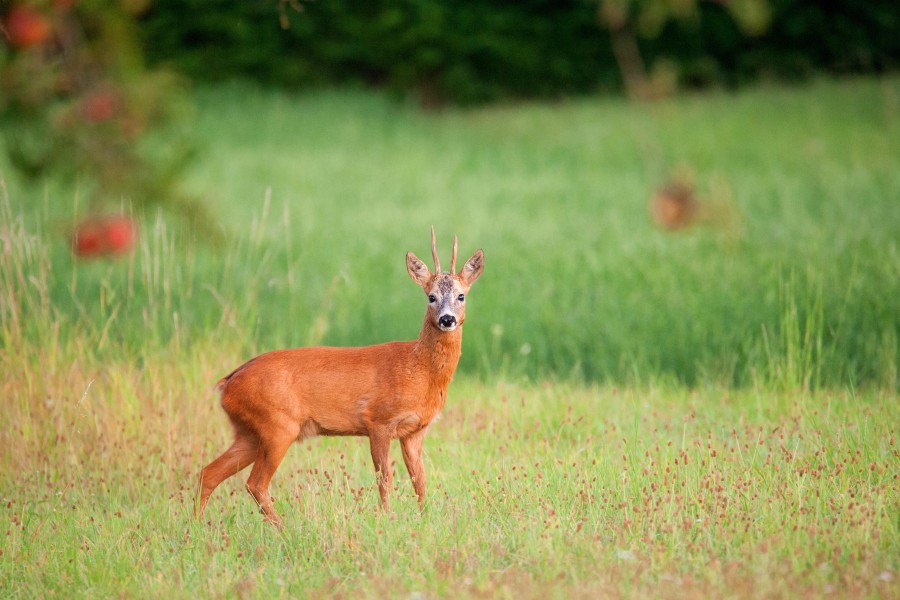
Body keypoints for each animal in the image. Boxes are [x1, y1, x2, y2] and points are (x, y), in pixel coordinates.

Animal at [193, 227, 482, 528]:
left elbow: (420, 480)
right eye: (431, 297)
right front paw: (387, 519)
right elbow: (385, 479)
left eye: (461, 296)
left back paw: (196, 527)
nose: (447, 319)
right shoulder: (378, 420)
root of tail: (228, 383)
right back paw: (283, 529)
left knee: (209, 473)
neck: (421, 370)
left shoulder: (415, 431)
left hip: (249, 433)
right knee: (254, 483)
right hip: (277, 425)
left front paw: (425, 520)